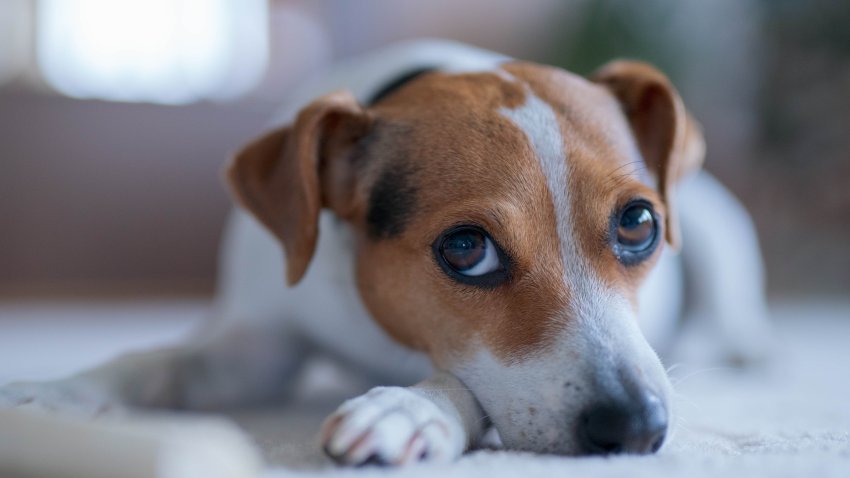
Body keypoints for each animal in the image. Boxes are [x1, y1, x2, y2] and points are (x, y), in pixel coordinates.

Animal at [0, 41, 768, 466]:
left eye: (638, 224)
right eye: (466, 248)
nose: (637, 425)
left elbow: (461, 382)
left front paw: (407, 411)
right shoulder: (256, 347)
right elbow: (154, 360)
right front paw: (56, 393)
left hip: (719, 227)